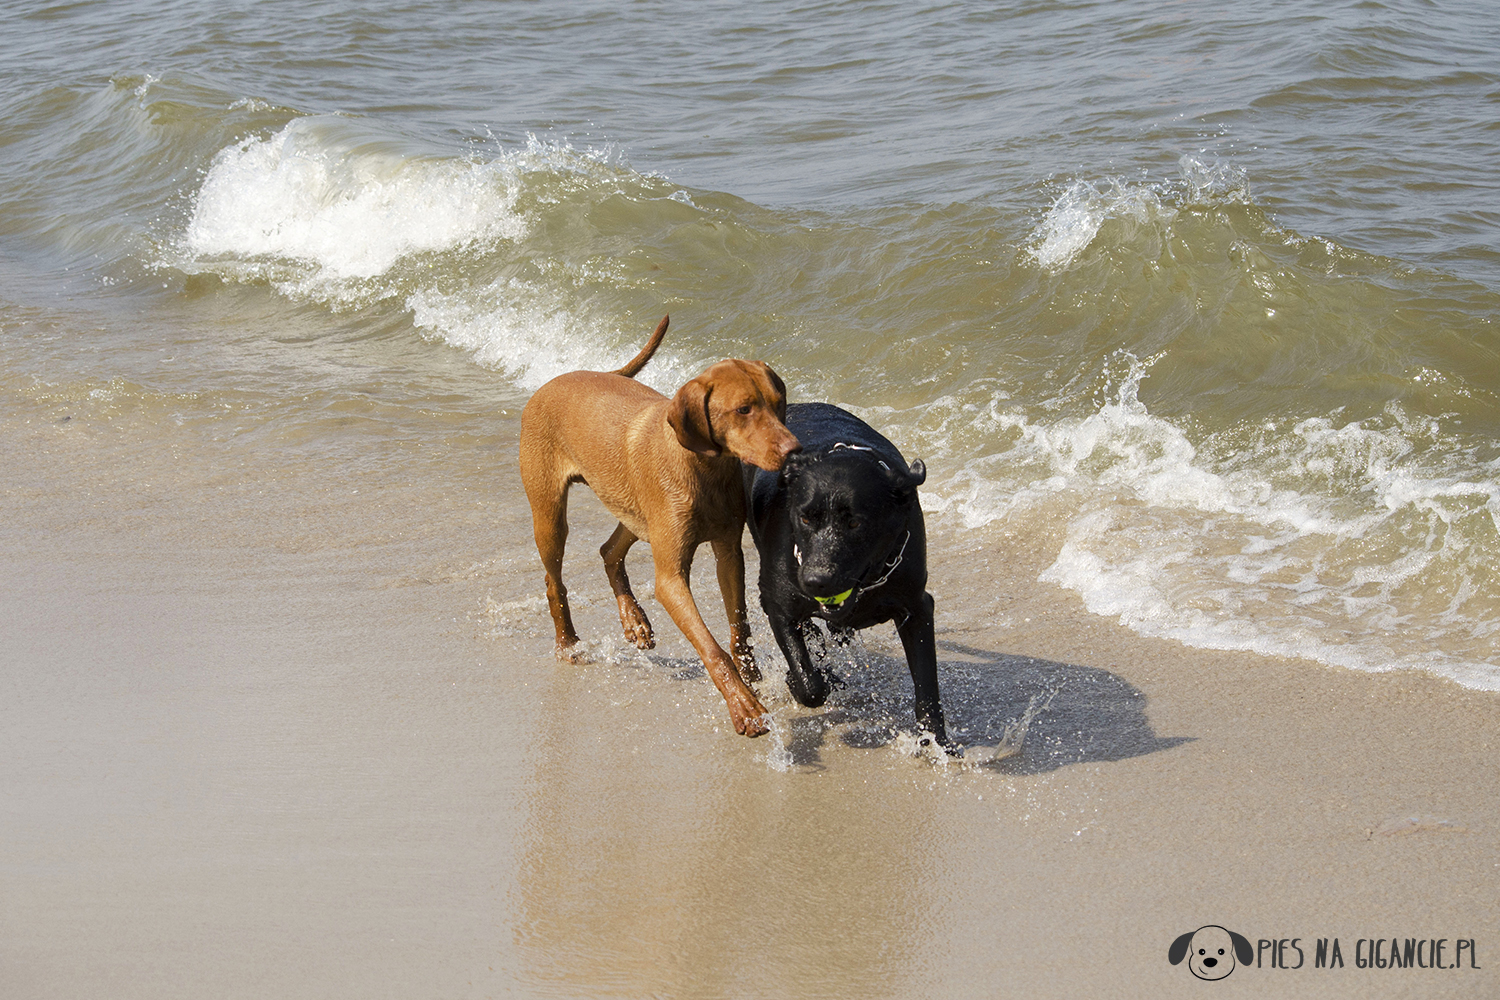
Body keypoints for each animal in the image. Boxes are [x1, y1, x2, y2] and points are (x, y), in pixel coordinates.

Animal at [522, 316, 798, 740]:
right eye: (744, 409)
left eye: (779, 401)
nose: (794, 450)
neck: (705, 467)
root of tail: (555, 380)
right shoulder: (671, 579)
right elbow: (712, 648)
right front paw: (743, 705)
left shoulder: (728, 554)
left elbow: (739, 628)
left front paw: (752, 678)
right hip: (550, 516)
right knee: (555, 582)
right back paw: (567, 643)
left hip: (636, 511)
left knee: (609, 550)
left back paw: (633, 619)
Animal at [741, 401, 948, 746]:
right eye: (805, 518)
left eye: (854, 522)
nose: (815, 581)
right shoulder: (777, 604)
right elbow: (809, 684)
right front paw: (800, 679)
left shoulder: (917, 607)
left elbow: (927, 687)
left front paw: (938, 744)